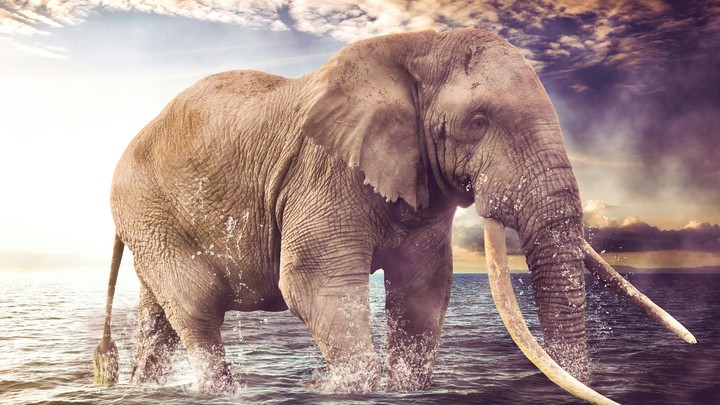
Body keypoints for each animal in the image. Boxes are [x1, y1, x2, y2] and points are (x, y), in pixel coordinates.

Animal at [93, 28, 695, 403]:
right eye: (478, 122)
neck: (421, 48)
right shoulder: (324, 168)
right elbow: (313, 281)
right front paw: (341, 391)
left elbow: (423, 290)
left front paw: (406, 391)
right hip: (148, 208)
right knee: (195, 307)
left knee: (160, 318)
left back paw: (146, 388)